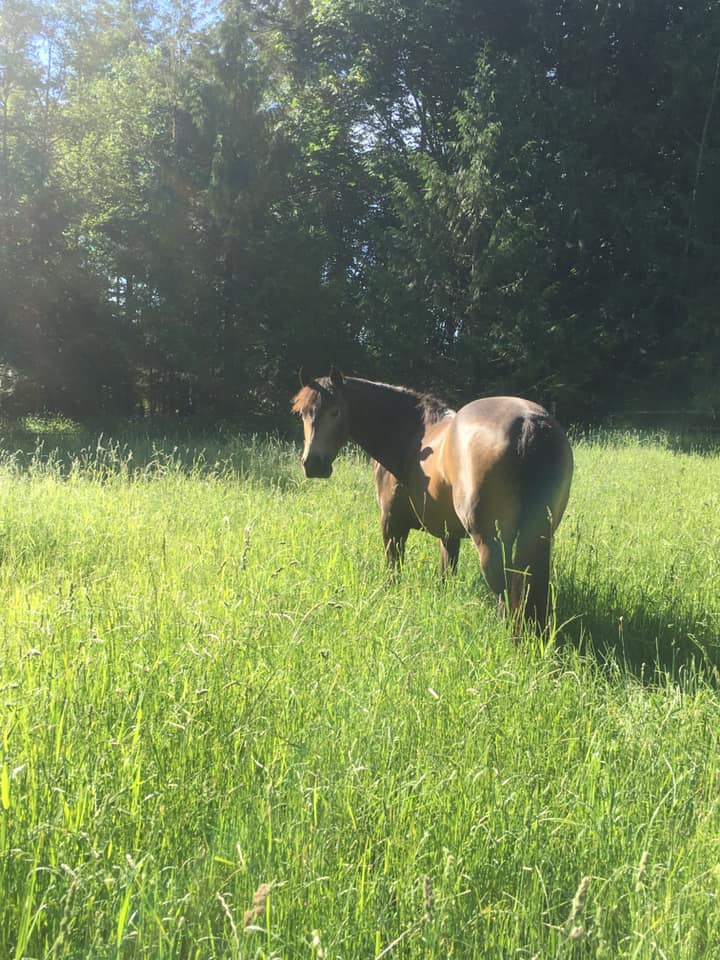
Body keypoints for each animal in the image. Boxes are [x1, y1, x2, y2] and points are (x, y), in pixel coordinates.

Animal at [291, 367, 573, 629]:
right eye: (303, 413)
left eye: (335, 411)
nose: (313, 464)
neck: (408, 437)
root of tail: (527, 422)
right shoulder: (448, 534)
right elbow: (447, 574)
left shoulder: (391, 524)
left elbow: (394, 570)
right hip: (537, 537)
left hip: (489, 542)